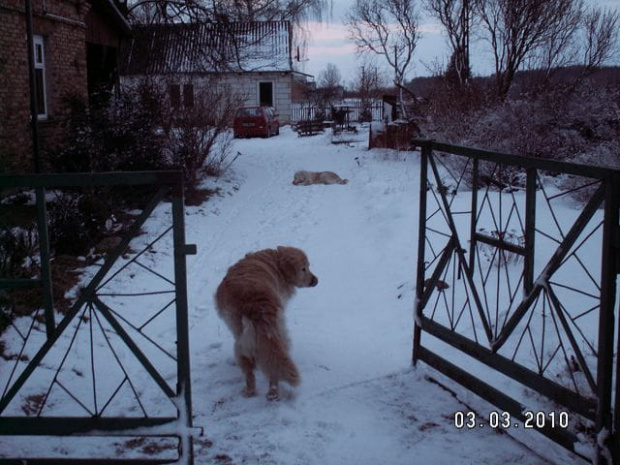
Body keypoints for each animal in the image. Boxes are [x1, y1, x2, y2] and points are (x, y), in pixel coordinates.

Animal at [214, 246, 320, 398]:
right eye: (303, 268)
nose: (316, 280)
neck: (276, 263)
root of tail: (254, 305)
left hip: (244, 338)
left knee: (252, 368)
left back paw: (254, 391)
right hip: (277, 333)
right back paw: (272, 392)